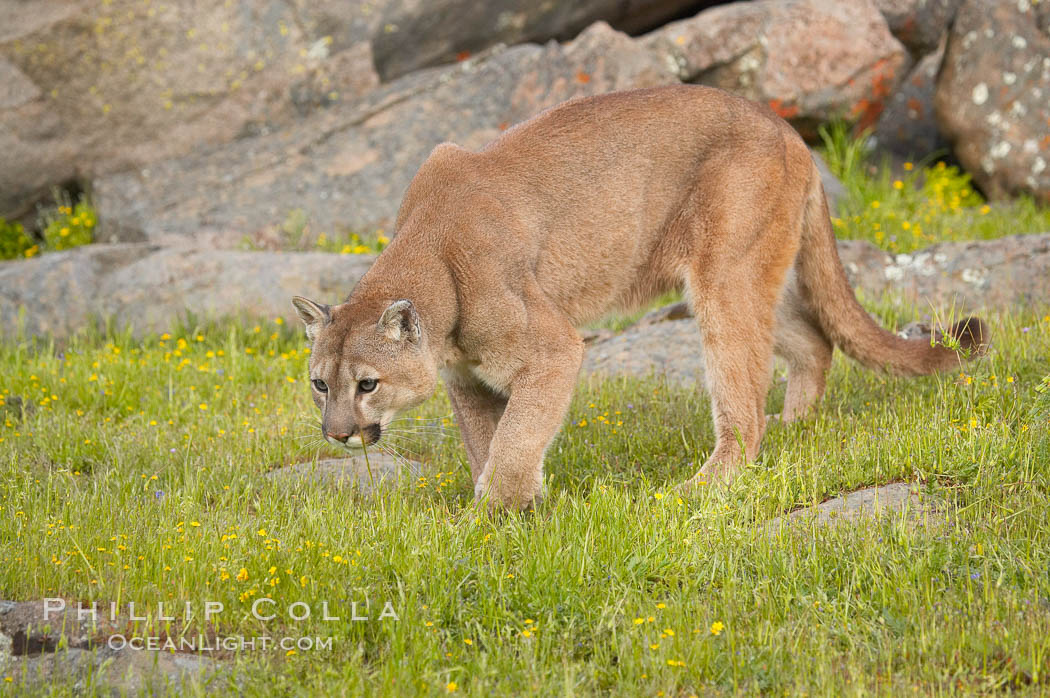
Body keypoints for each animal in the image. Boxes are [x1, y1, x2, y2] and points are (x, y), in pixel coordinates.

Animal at [291, 87, 986, 512]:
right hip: (737, 277)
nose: (337, 435)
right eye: (321, 384)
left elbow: (515, 440)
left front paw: (487, 518)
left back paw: (700, 487)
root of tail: (788, 129)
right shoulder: (469, 379)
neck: (429, 252)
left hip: (723, 278)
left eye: (368, 384)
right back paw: (797, 428)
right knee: (811, 340)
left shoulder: (551, 348)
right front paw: (517, 509)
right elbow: (491, 441)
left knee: (743, 402)